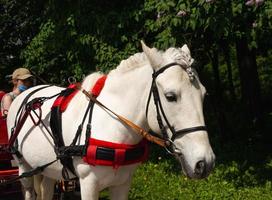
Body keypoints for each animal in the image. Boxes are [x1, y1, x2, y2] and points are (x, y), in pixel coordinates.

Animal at [6, 41, 215, 199]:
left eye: (204, 95)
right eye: (170, 96)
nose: (205, 163)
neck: (113, 125)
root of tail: (27, 93)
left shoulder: (123, 183)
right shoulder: (88, 183)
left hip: (47, 169)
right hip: (24, 167)